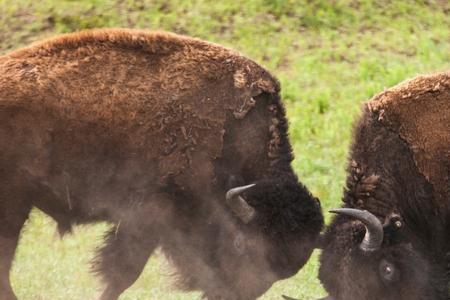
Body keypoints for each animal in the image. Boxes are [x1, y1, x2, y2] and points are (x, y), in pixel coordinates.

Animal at [0, 28, 324, 300]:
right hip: (13, 205)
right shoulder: (150, 215)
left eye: (280, 273)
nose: (225, 294)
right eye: (241, 246)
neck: (231, 134)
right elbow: (123, 273)